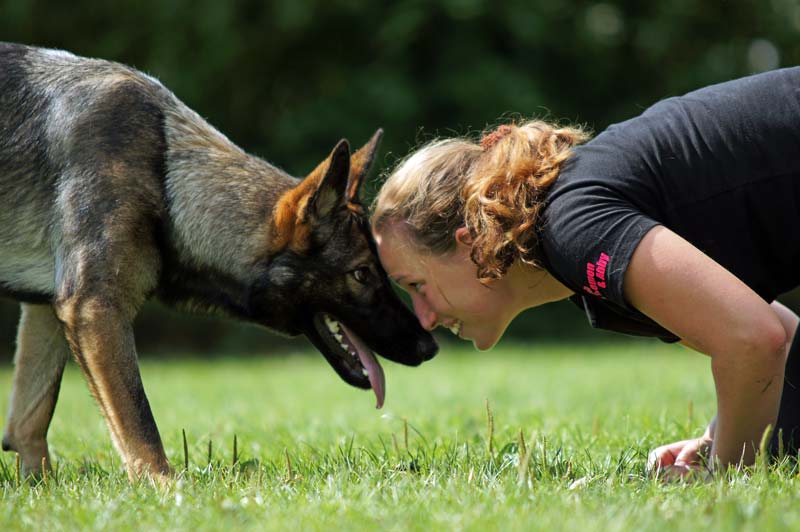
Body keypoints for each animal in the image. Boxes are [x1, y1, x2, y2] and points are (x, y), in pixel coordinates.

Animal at [0, 42, 438, 482]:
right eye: (361, 273)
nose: (430, 346)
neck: (169, 179)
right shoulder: (95, 309)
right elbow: (139, 422)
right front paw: (164, 486)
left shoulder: (48, 309)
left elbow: (30, 421)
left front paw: (39, 488)